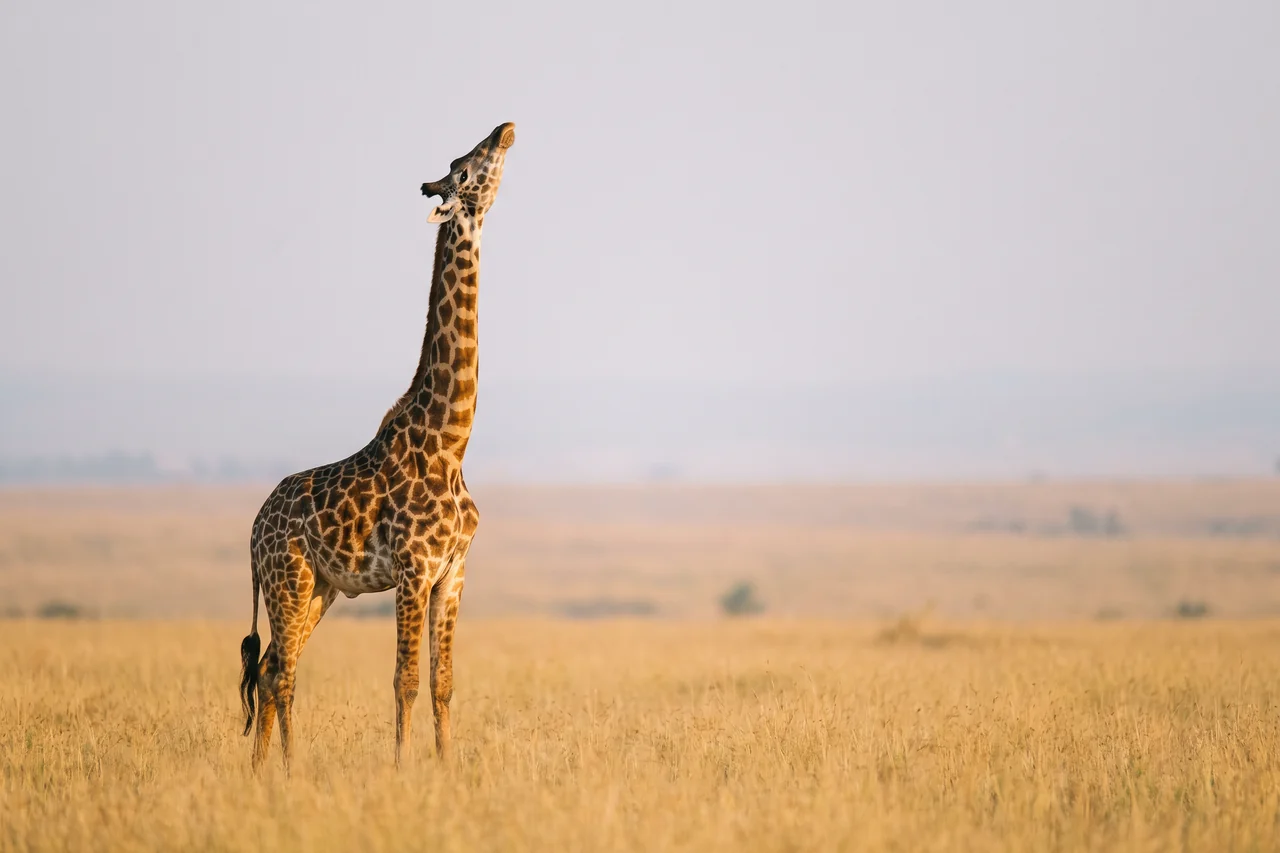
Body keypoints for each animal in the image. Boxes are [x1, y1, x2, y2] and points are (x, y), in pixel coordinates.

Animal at [238, 121, 516, 772]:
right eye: (463, 167)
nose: (506, 129)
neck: (451, 442)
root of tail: (254, 529)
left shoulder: (453, 572)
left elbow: (442, 682)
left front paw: (443, 766)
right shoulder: (414, 570)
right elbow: (404, 680)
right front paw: (401, 769)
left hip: (320, 587)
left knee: (269, 668)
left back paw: (261, 772)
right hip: (289, 579)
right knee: (281, 672)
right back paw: (286, 771)